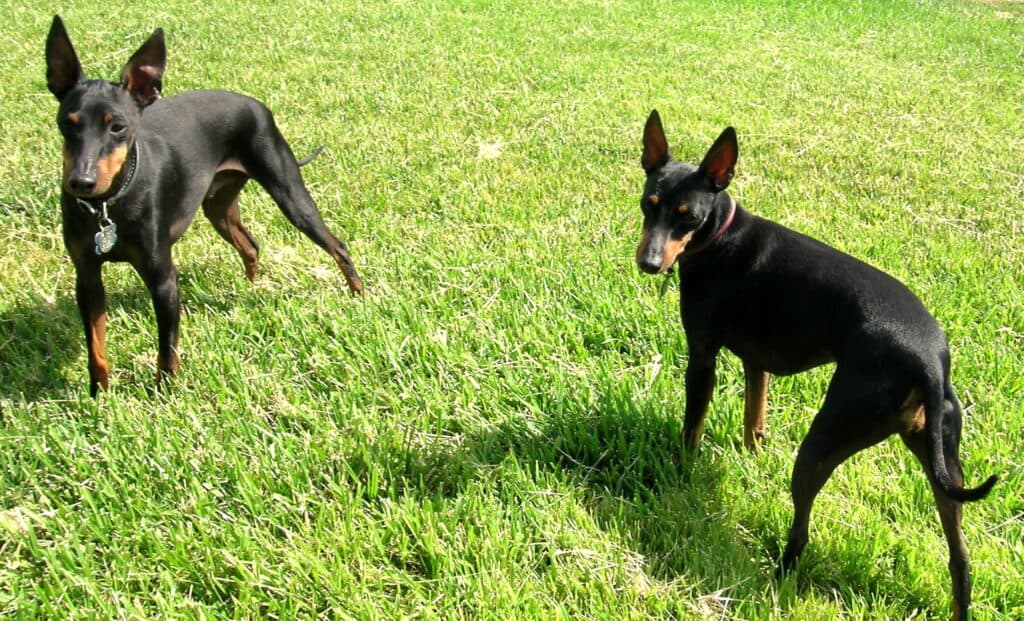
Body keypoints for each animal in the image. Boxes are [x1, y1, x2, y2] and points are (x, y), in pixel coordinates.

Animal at [45, 17, 364, 397]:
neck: (108, 205)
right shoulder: (87, 278)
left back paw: (359, 295)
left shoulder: (163, 279)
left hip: (290, 195)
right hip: (218, 208)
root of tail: (257, 105)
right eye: (66, 125)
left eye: (118, 127)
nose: (81, 182)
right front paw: (99, 395)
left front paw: (165, 395)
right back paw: (250, 288)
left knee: (337, 245)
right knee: (251, 245)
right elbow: (96, 347)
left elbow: (167, 347)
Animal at [634, 109, 995, 618]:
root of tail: (930, 362)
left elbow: (692, 429)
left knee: (801, 531)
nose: (649, 264)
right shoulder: (756, 363)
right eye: (648, 204)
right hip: (942, 458)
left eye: (689, 217)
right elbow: (754, 418)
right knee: (960, 560)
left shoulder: (703, 357)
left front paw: (681, 475)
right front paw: (753, 457)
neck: (721, 234)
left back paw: (776, 578)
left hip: (825, 440)